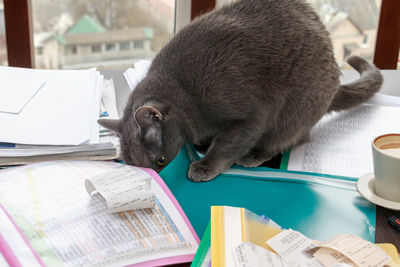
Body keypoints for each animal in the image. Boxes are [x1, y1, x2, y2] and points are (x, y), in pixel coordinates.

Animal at [98, 0, 382, 182]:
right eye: (138, 167)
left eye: (160, 160)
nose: (158, 180)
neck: (182, 90)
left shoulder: (252, 113)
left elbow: (227, 143)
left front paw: (205, 165)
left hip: (295, 111)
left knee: (291, 137)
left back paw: (254, 154)